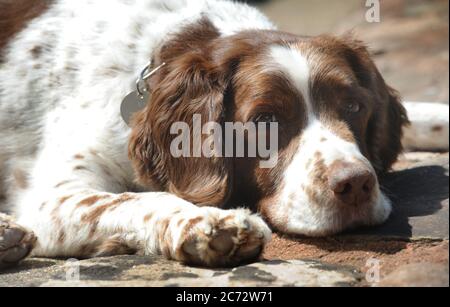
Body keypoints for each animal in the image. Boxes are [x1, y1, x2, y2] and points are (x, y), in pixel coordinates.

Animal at [0, 0, 448, 270]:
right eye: (265, 119)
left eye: (353, 107)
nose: (355, 184)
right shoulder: (51, 198)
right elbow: (135, 199)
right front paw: (210, 224)